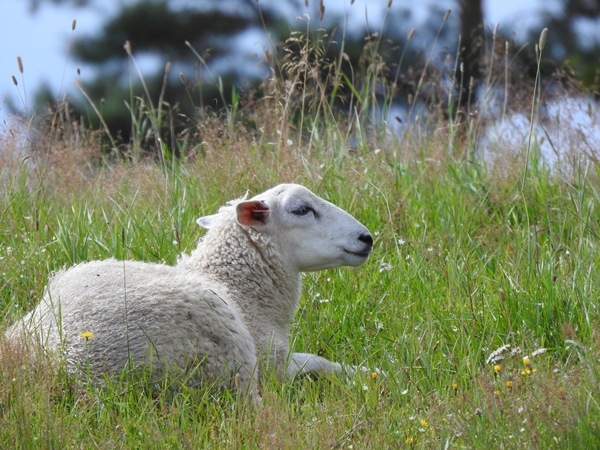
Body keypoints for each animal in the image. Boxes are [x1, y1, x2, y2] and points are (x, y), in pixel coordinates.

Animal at [7, 184, 372, 398]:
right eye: (301, 209)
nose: (367, 238)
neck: (240, 289)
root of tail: (61, 363)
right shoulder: (272, 360)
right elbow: (318, 361)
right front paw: (370, 373)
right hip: (225, 358)